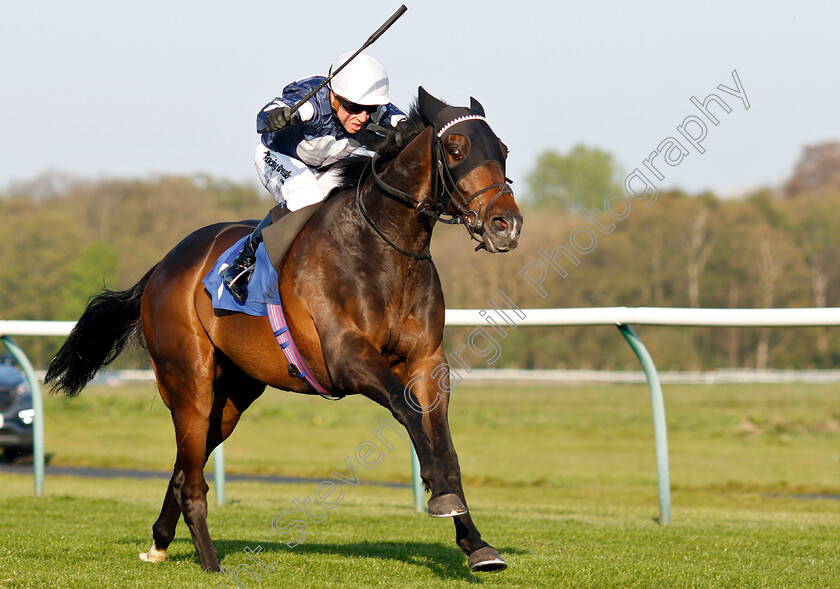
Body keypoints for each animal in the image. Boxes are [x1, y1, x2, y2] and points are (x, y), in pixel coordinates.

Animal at [46, 88, 520, 576]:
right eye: (456, 149)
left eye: (502, 151)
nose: (506, 224)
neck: (384, 247)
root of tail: (163, 264)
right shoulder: (346, 357)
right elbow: (407, 412)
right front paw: (441, 496)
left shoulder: (427, 360)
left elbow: (444, 444)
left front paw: (477, 543)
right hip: (189, 381)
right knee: (192, 476)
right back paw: (211, 563)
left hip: (232, 395)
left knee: (185, 467)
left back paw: (160, 542)